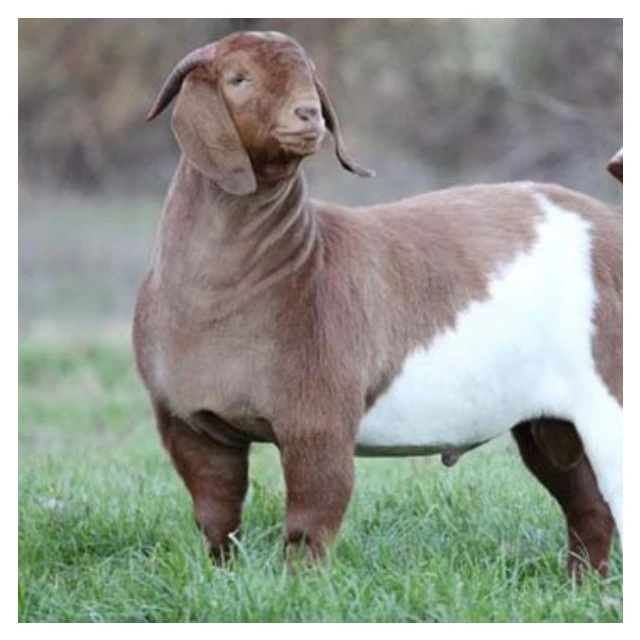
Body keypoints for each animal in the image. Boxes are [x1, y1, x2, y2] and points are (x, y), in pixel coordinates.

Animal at [134, 31, 622, 576]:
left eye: (309, 78)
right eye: (239, 79)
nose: (309, 115)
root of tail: (614, 221)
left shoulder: (318, 420)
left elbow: (311, 520)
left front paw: (300, 586)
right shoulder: (189, 425)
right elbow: (217, 516)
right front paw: (225, 579)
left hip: (611, 392)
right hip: (550, 422)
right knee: (587, 504)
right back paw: (583, 585)